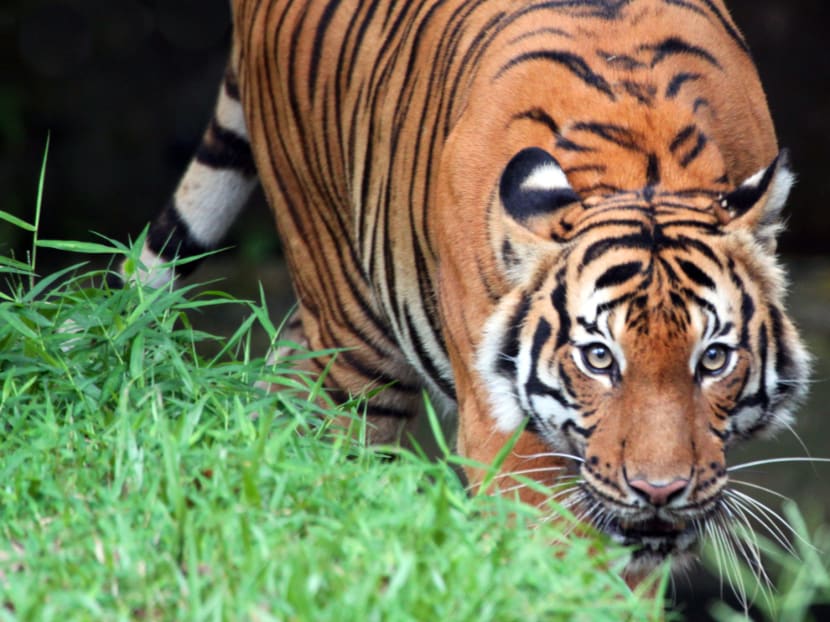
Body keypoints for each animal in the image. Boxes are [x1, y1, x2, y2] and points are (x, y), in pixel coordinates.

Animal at [125, 0, 810, 582]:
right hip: (351, 335)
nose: (659, 491)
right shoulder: (506, 434)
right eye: (598, 358)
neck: (642, 165)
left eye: (713, 358)